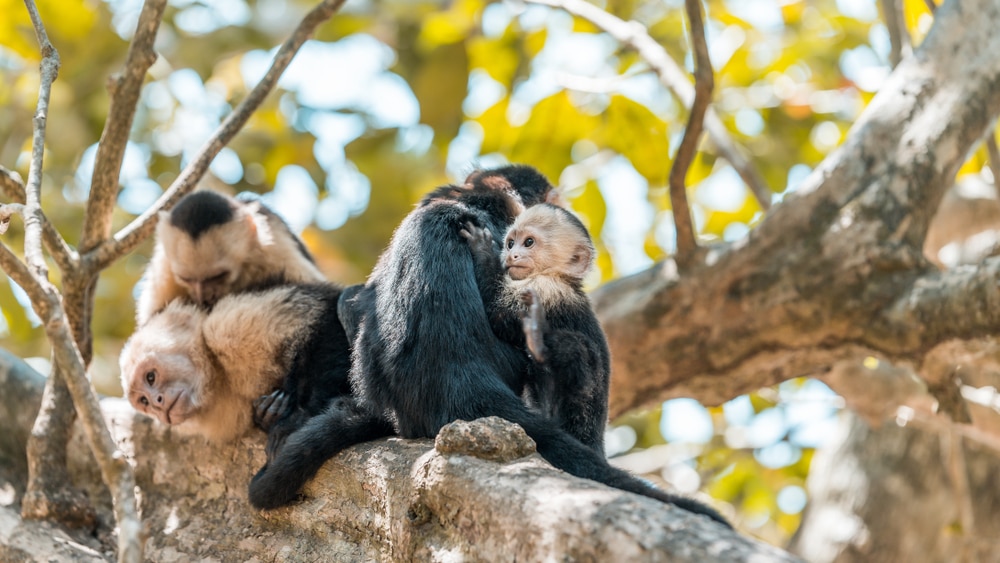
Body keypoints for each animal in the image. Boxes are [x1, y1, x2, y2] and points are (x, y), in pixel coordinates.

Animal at [459, 203, 609, 456]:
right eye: (511, 243)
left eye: (528, 242)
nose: (512, 255)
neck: (559, 276)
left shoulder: (545, 288)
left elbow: (500, 311)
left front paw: (483, 250)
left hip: (581, 411)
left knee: (577, 349)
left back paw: (539, 346)